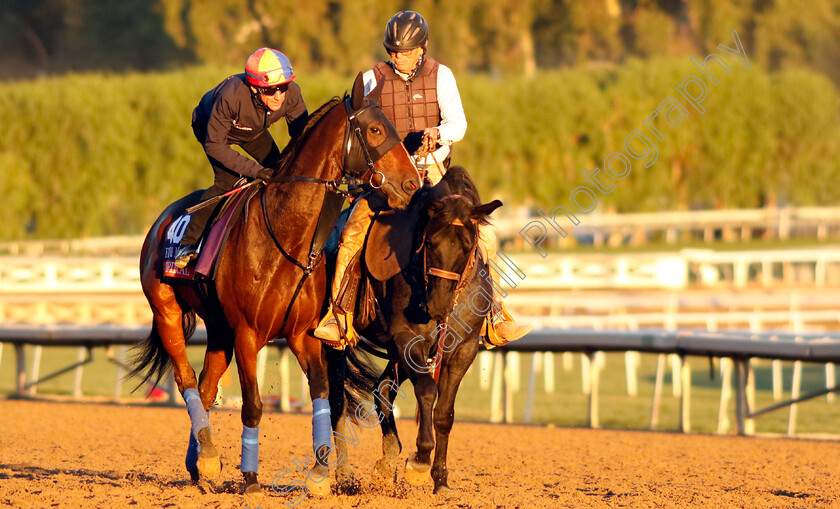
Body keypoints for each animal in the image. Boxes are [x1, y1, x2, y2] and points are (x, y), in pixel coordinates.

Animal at [129, 93, 424, 494]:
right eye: (376, 129)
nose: (412, 183)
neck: (286, 234)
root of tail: (160, 221)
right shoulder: (247, 334)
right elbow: (253, 405)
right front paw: (251, 477)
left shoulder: (302, 335)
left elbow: (321, 394)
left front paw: (319, 474)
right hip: (167, 312)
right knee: (186, 379)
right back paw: (207, 457)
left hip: (218, 329)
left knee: (206, 387)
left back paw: (201, 463)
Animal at [326, 167, 498, 492]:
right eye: (430, 242)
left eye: (467, 246)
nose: (438, 304)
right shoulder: (408, 340)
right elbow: (427, 390)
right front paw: (419, 461)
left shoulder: (463, 349)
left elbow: (445, 412)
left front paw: (440, 478)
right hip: (336, 342)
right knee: (338, 400)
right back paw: (344, 477)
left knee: (381, 390)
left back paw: (387, 463)